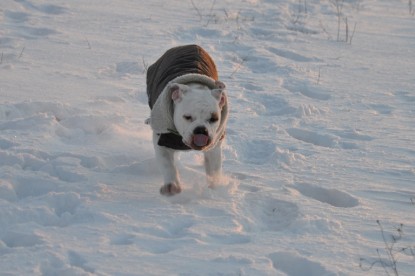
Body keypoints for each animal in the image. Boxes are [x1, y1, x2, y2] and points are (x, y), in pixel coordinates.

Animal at [146, 44, 229, 196]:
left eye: (214, 118)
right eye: (187, 117)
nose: (201, 130)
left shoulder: (214, 147)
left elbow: (214, 169)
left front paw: (215, 189)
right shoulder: (161, 140)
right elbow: (167, 164)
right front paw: (171, 186)